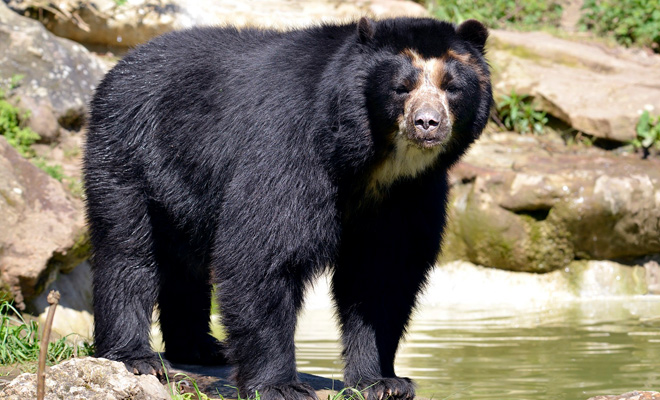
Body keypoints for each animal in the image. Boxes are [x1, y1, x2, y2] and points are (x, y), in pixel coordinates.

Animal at [84, 16, 490, 400]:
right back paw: (136, 356)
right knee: (127, 250)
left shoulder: (409, 193)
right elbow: (263, 253)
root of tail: (124, 63)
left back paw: (202, 349)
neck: (374, 162)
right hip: (130, 151)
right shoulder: (291, 146)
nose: (427, 123)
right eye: (401, 87)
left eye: (451, 87)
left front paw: (384, 382)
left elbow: (383, 274)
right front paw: (280, 385)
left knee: (185, 262)